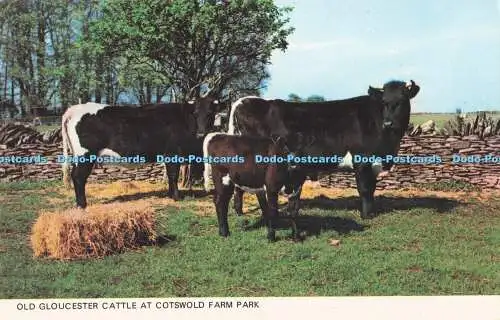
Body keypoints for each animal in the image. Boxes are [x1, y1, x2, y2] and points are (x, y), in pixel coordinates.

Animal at [61, 94, 221, 209]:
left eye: (210, 113)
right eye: (195, 113)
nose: (201, 133)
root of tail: (74, 109)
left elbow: (170, 176)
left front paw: (170, 194)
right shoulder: (173, 153)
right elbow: (173, 175)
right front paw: (176, 197)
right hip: (85, 155)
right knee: (78, 177)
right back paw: (82, 205)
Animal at [220, 80, 422, 220]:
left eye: (402, 100)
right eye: (384, 102)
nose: (389, 123)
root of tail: (244, 101)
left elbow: (371, 189)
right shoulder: (361, 159)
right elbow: (364, 189)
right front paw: (366, 216)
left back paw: (239, 211)